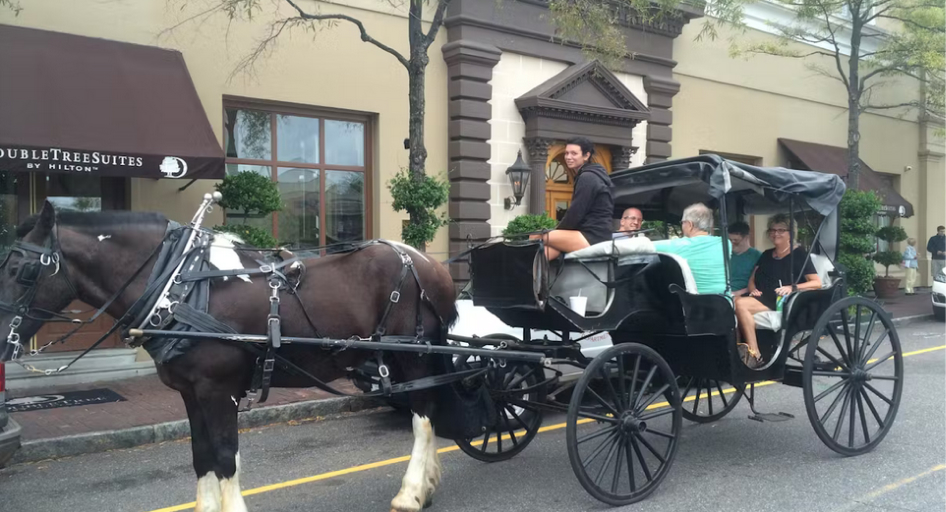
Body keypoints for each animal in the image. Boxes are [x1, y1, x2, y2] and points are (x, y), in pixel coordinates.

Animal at [0, 200, 458, 512]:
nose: (3, 342)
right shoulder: (190, 392)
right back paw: (429, 483)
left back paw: (411, 492)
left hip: (413, 356)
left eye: (21, 269)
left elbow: (224, 456)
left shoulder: (219, 390)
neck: (180, 286)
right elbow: (201, 455)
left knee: (422, 417)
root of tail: (430, 263)